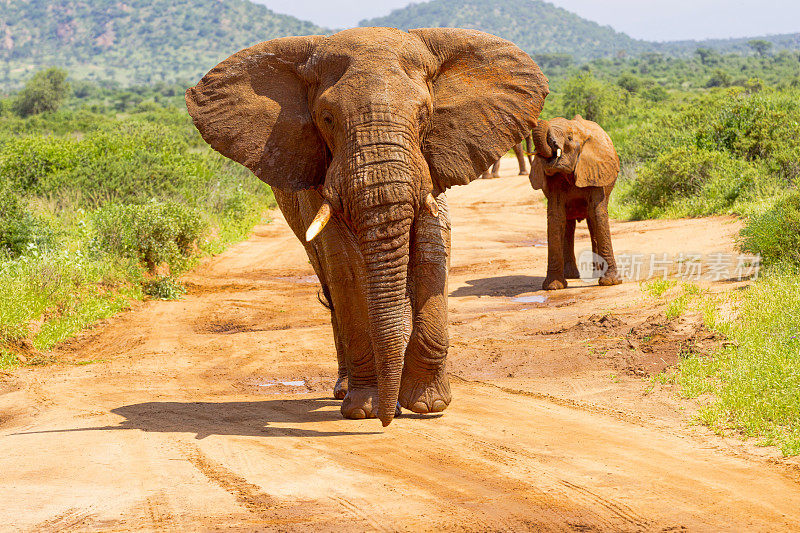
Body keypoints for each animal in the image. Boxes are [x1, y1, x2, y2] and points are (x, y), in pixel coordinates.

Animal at [188, 27, 552, 424]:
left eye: (424, 114)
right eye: (327, 118)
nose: (386, 420)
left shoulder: (432, 158)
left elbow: (432, 246)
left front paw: (427, 406)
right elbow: (347, 267)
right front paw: (366, 410)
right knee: (332, 285)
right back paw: (349, 391)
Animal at [532, 114, 624, 290]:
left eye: (569, 138)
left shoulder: (594, 170)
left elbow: (597, 214)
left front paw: (611, 283)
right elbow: (555, 217)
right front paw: (553, 287)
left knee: (591, 222)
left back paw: (596, 274)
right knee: (568, 224)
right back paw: (570, 275)